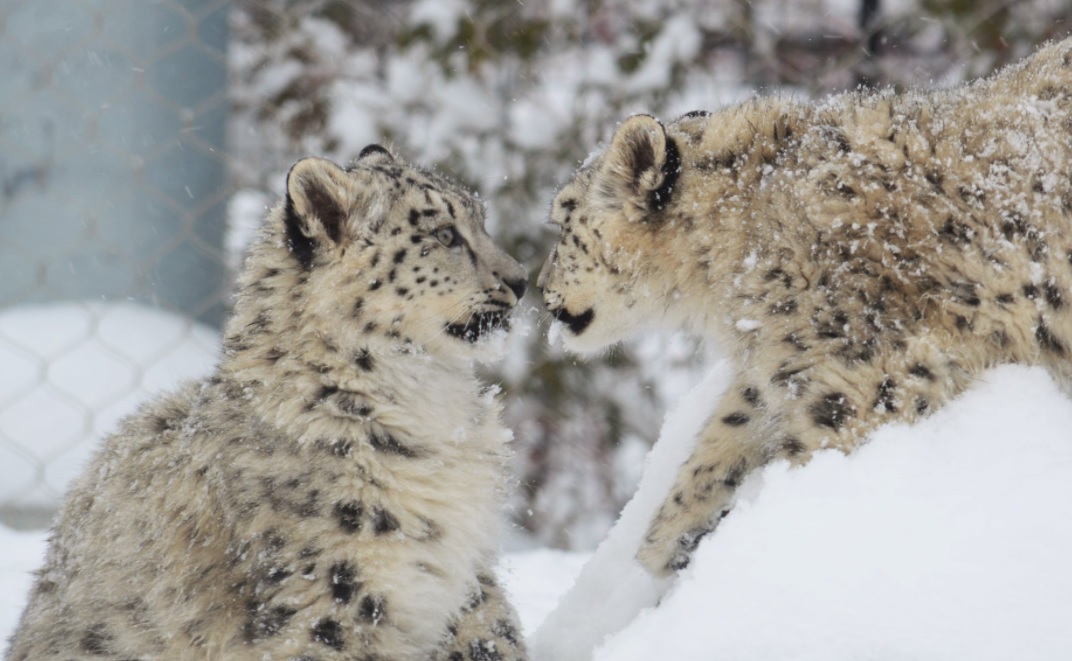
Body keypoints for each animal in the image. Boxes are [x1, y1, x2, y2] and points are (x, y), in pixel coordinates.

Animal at [5, 146, 530, 661]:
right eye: (444, 234)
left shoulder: (469, 584)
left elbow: (493, 637)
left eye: (481, 221)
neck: (434, 406)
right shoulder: (332, 598)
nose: (521, 279)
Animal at [537, 36, 1072, 578]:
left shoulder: (877, 370)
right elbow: (720, 443)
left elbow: (817, 443)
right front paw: (663, 548)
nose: (538, 289)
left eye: (562, 220)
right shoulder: (781, 365)